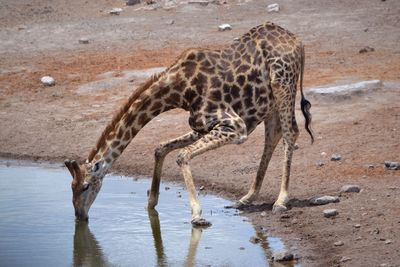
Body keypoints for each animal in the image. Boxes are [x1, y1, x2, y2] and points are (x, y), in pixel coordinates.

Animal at [65, 21, 312, 226]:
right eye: (71, 187)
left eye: (86, 186)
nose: (80, 216)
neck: (179, 90)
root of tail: (298, 42)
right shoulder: (201, 126)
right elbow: (161, 148)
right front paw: (151, 204)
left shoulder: (235, 126)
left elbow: (181, 155)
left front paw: (197, 215)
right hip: (268, 102)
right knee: (274, 135)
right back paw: (247, 197)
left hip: (283, 84)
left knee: (291, 132)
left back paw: (280, 201)